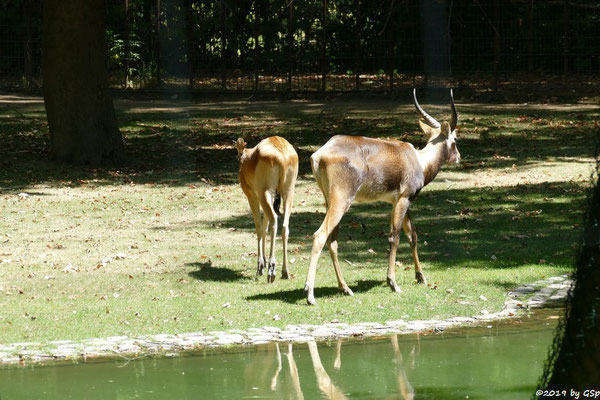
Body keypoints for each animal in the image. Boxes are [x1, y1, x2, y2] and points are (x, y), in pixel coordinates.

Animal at [236, 136, 298, 282]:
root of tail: (283, 155)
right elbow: (264, 227)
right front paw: (263, 262)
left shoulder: (252, 195)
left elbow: (259, 226)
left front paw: (260, 265)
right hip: (288, 192)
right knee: (285, 226)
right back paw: (285, 271)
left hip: (266, 193)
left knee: (274, 220)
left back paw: (271, 269)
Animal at [304, 89, 460, 304]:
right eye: (456, 139)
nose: (458, 157)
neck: (419, 161)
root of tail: (319, 154)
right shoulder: (403, 200)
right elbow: (395, 237)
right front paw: (393, 283)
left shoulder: (400, 202)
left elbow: (413, 236)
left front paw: (420, 277)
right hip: (341, 203)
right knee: (320, 236)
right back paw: (310, 294)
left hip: (329, 202)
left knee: (332, 241)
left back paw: (345, 288)